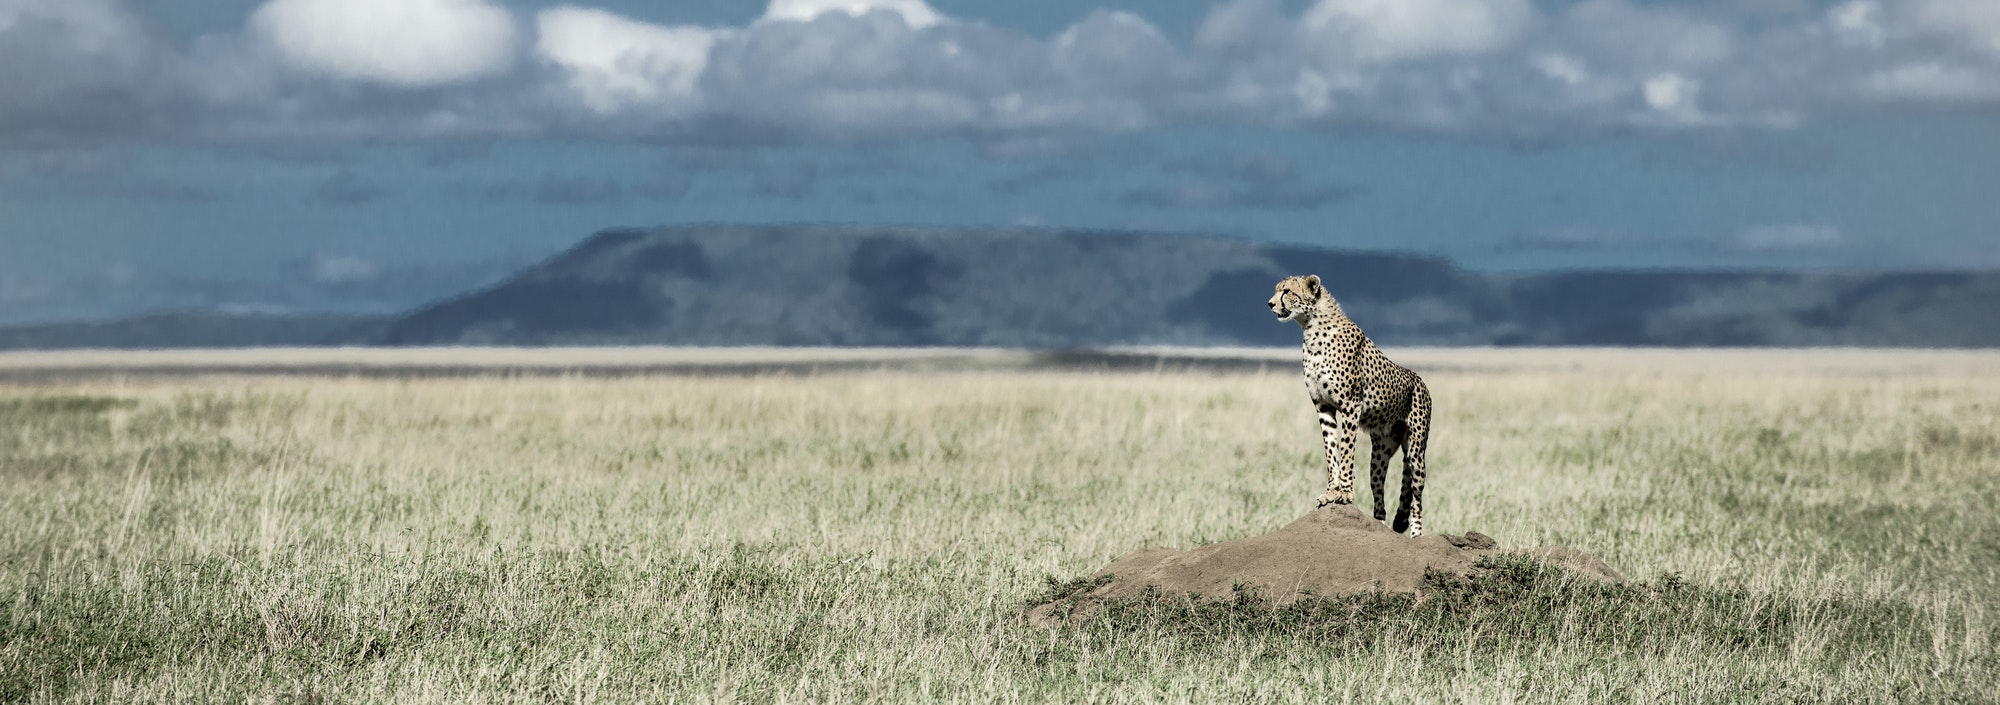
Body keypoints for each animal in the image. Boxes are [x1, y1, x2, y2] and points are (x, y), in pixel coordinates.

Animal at [1264, 274, 1440, 532]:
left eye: (1286, 291)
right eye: (1277, 290)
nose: (1270, 304)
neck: (1311, 328)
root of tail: (1419, 379)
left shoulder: (1350, 406)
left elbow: (1346, 450)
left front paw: (1345, 493)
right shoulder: (1323, 407)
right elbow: (1331, 452)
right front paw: (1330, 492)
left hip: (1416, 452)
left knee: (1416, 495)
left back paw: (1416, 534)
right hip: (1380, 454)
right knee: (1380, 495)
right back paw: (1380, 525)